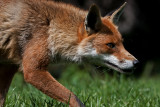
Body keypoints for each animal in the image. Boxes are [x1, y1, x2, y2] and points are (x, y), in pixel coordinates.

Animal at [0, 0, 139, 106]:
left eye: (122, 43)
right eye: (110, 45)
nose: (136, 63)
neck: (50, 29)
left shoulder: (8, 67)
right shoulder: (33, 70)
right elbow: (74, 98)